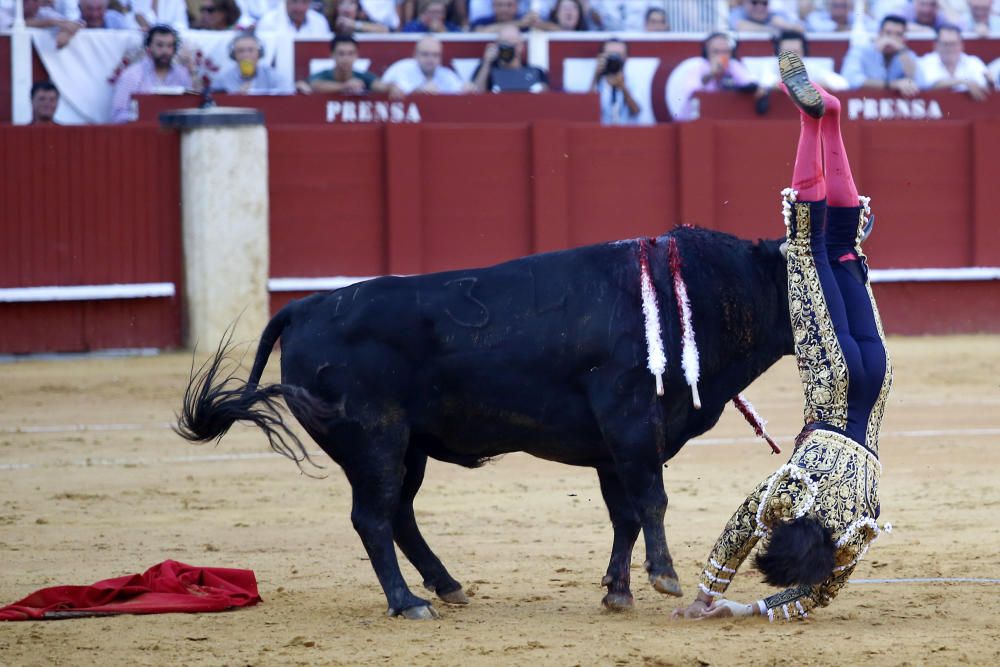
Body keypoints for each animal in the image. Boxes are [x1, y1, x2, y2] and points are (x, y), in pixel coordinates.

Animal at [176, 227, 792, 620]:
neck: (694, 295)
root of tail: (304, 307)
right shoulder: (632, 423)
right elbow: (651, 501)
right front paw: (663, 577)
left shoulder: (611, 448)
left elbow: (625, 515)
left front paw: (617, 592)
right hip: (375, 441)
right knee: (372, 517)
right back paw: (408, 603)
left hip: (409, 449)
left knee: (398, 513)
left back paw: (446, 586)